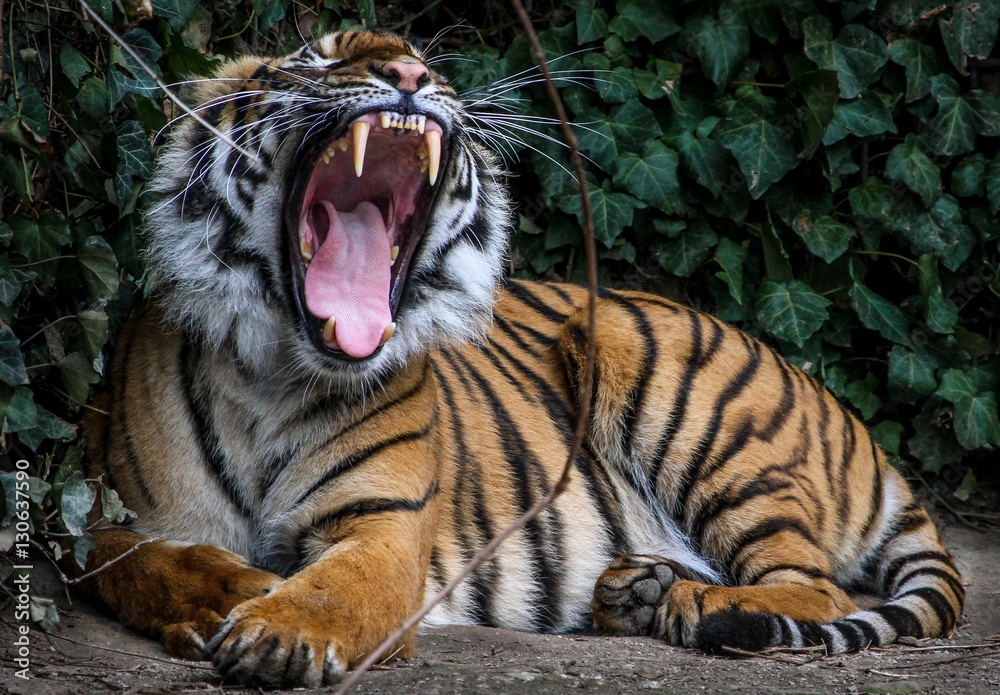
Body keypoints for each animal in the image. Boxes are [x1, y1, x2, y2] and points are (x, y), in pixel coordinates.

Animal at [78, 29, 964, 688]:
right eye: (315, 55)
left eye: (424, 61)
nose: (410, 73)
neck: (276, 371)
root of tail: (850, 419)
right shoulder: (111, 510)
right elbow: (131, 561)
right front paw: (236, 591)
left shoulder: (386, 526)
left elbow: (336, 587)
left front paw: (279, 627)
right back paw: (639, 590)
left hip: (673, 390)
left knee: (814, 584)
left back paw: (701, 608)